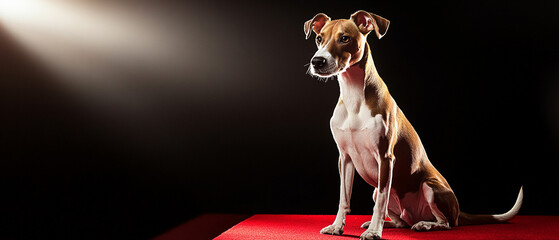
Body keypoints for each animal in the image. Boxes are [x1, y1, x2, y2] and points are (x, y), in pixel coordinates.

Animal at [304, 9, 524, 240]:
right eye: (319, 38)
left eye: (344, 38)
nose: (317, 61)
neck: (354, 96)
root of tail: (458, 212)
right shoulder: (345, 158)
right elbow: (344, 198)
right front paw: (337, 226)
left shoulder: (385, 157)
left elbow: (380, 203)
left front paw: (374, 232)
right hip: (384, 194)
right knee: (402, 221)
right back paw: (388, 223)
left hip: (430, 187)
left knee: (445, 223)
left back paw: (423, 225)